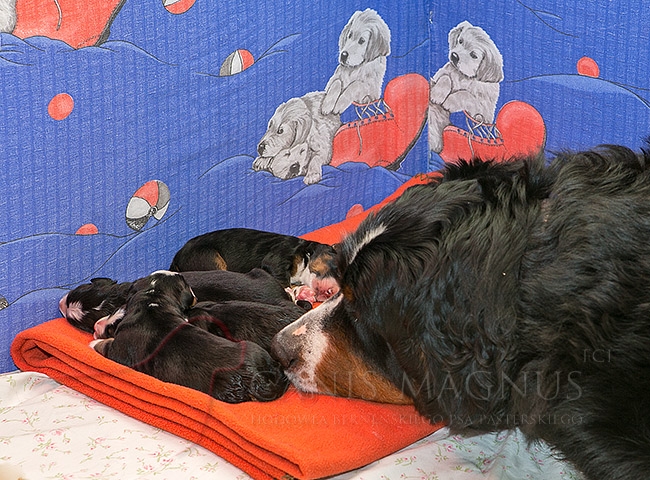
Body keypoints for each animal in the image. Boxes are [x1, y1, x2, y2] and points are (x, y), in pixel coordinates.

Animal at [90, 271, 289, 403]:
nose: (95, 327)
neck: (152, 303)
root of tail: (258, 375)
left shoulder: (119, 350)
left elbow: (105, 346)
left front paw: (94, 343)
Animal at [169, 228, 339, 302]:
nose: (334, 292)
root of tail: (176, 258)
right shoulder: (277, 258)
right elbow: (282, 279)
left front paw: (304, 292)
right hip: (210, 258)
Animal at [428, 21, 503, 153]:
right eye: (460, 41)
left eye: (473, 55)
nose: (454, 56)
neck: (464, 76)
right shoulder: (440, 75)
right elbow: (446, 77)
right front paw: (437, 94)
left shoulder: (483, 113)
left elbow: (467, 95)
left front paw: (449, 101)